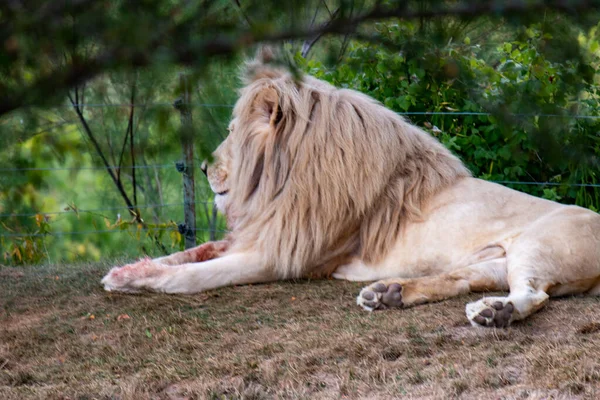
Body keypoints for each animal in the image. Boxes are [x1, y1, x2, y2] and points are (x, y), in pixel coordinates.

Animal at [102, 48, 600, 328]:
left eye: (231, 133)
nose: (204, 167)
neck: (283, 180)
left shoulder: (285, 255)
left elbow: (195, 275)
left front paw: (144, 281)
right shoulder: (262, 235)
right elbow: (192, 252)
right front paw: (126, 272)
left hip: (537, 245)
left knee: (532, 295)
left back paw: (495, 313)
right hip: (494, 261)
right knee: (464, 278)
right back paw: (388, 294)